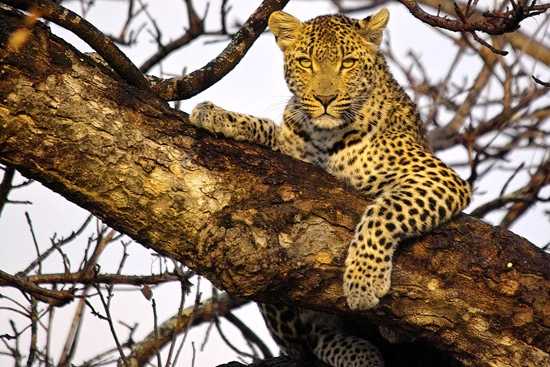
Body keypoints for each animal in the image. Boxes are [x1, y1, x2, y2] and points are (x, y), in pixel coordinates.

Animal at [189, 8, 470, 367]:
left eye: (347, 63)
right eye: (306, 62)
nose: (324, 99)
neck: (326, 136)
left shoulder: (438, 176)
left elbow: (383, 212)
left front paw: (363, 281)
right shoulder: (295, 151)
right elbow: (271, 129)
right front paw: (218, 115)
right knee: (312, 339)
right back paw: (359, 352)